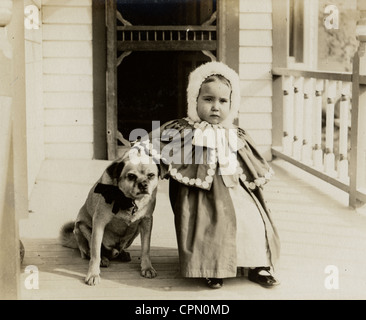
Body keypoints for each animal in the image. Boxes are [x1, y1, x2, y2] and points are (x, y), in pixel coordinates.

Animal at [59, 146, 159, 286]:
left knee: (117, 250)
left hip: (134, 234)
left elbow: (146, 249)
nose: (143, 184)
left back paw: (122, 254)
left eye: (151, 176)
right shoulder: (99, 223)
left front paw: (147, 267)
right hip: (81, 228)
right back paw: (103, 258)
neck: (128, 200)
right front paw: (93, 274)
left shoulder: (146, 222)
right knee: (89, 251)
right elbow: (95, 253)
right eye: (131, 176)